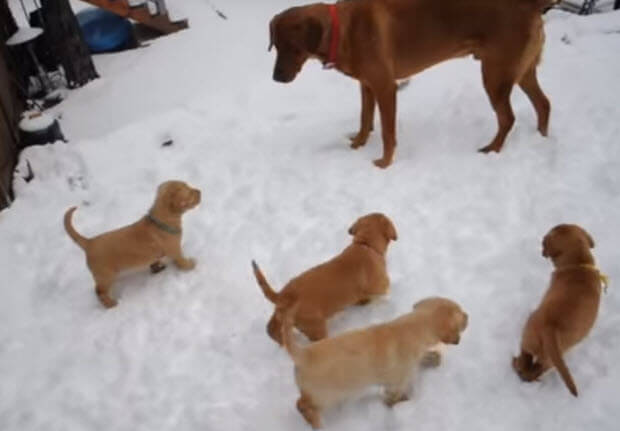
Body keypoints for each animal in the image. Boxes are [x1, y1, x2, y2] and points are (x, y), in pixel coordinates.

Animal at [63, 181, 200, 308]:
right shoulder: (175, 250)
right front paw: (190, 265)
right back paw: (111, 304)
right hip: (105, 276)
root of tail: (89, 242)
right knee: (99, 292)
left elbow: (155, 262)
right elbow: (182, 261)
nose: (200, 191)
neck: (160, 222)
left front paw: (157, 267)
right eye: (190, 193)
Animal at [252, 214, 398, 346]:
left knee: (271, 328)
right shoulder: (381, 285)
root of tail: (283, 296)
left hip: (281, 315)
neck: (365, 244)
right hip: (315, 327)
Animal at [268, 0, 556, 168]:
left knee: (507, 117)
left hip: (495, 75)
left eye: (294, 48)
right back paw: (541, 138)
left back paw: (493, 149)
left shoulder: (385, 87)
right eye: (276, 46)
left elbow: (387, 132)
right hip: (521, 72)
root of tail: (530, 5)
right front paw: (357, 144)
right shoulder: (367, 85)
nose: (276, 78)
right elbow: (364, 118)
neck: (344, 29)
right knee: (544, 104)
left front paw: (384, 163)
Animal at [282, 296, 470, 428]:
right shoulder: (397, 382)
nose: (468, 315)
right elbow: (394, 396)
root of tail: (302, 354)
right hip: (325, 395)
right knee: (302, 405)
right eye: (461, 316)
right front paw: (398, 403)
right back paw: (316, 423)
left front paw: (432, 358)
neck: (414, 325)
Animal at [512, 226, 604, 398]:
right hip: (551, 358)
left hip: (527, 337)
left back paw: (515, 364)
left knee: (526, 360)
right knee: (535, 370)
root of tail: (550, 329)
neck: (579, 264)